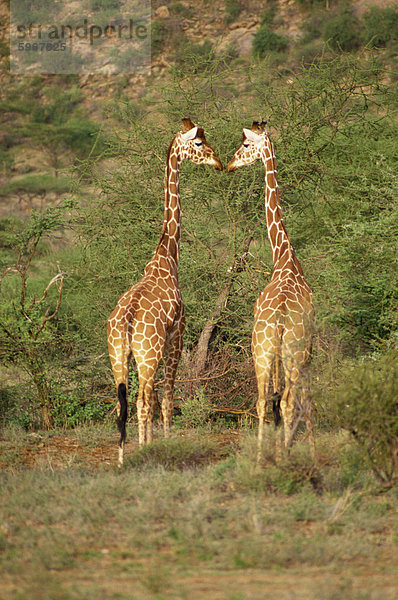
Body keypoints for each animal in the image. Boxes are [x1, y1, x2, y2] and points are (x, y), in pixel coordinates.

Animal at [107, 117, 222, 464]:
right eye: (198, 143)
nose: (217, 160)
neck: (167, 256)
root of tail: (127, 321)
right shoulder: (178, 333)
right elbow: (169, 395)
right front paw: (167, 442)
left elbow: (156, 397)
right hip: (149, 353)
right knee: (143, 400)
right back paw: (144, 451)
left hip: (119, 355)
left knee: (125, 401)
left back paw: (122, 458)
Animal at [227, 122, 314, 458]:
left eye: (246, 146)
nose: (230, 164)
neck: (284, 254)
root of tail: (278, 321)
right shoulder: (309, 347)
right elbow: (303, 398)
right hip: (292, 353)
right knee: (288, 400)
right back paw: (283, 454)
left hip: (261, 352)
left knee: (264, 400)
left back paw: (262, 456)